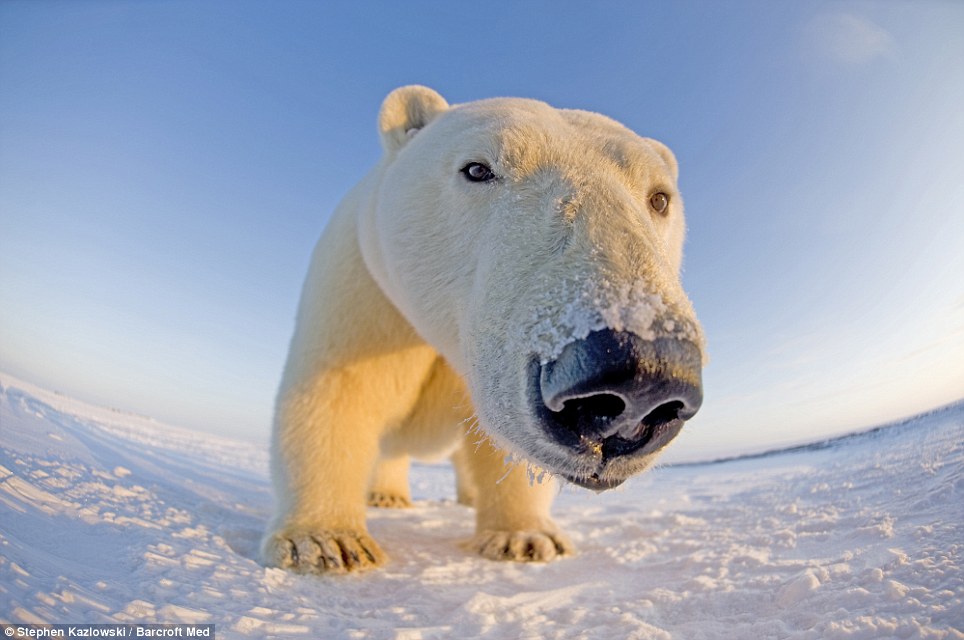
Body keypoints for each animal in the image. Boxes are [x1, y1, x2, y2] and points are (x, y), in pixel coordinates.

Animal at [261, 86, 705, 573]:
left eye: (660, 198)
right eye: (476, 169)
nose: (641, 378)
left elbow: (500, 447)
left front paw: (527, 538)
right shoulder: (367, 292)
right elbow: (338, 392)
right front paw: (325, 543)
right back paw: (386, 496)